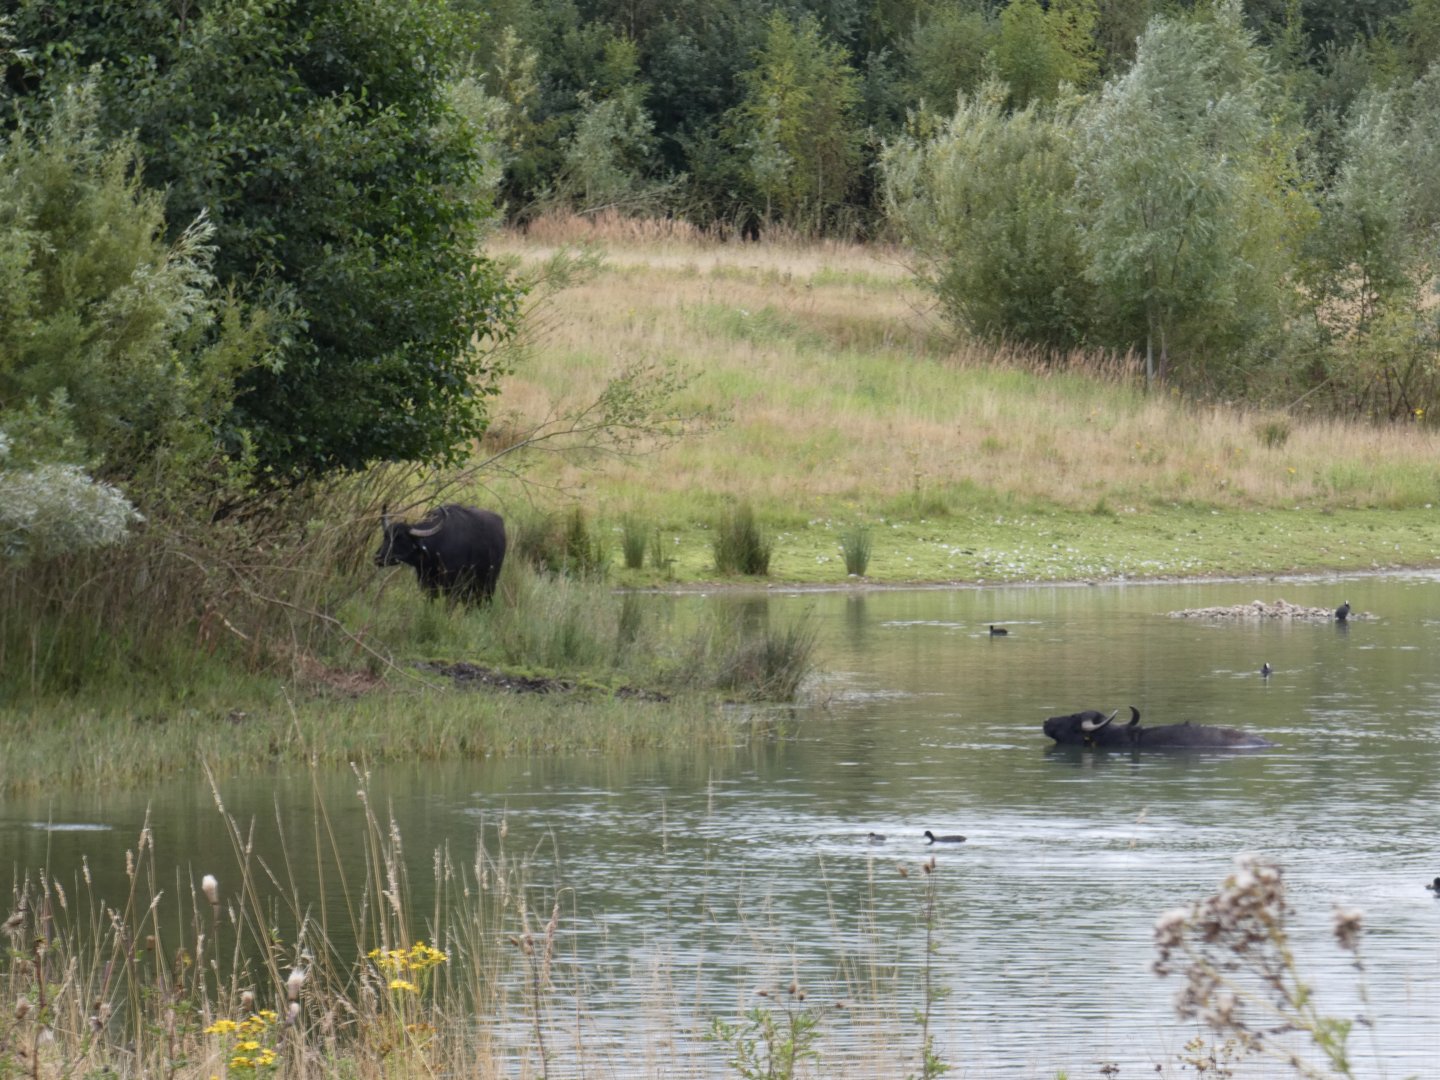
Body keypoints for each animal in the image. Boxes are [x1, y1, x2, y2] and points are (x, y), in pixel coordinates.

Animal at [374, 504, 507, 604]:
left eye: (401, 539)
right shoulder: (427, 586)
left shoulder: (454, 588)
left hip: (489, 583)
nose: (378, 558)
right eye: (385, 537)